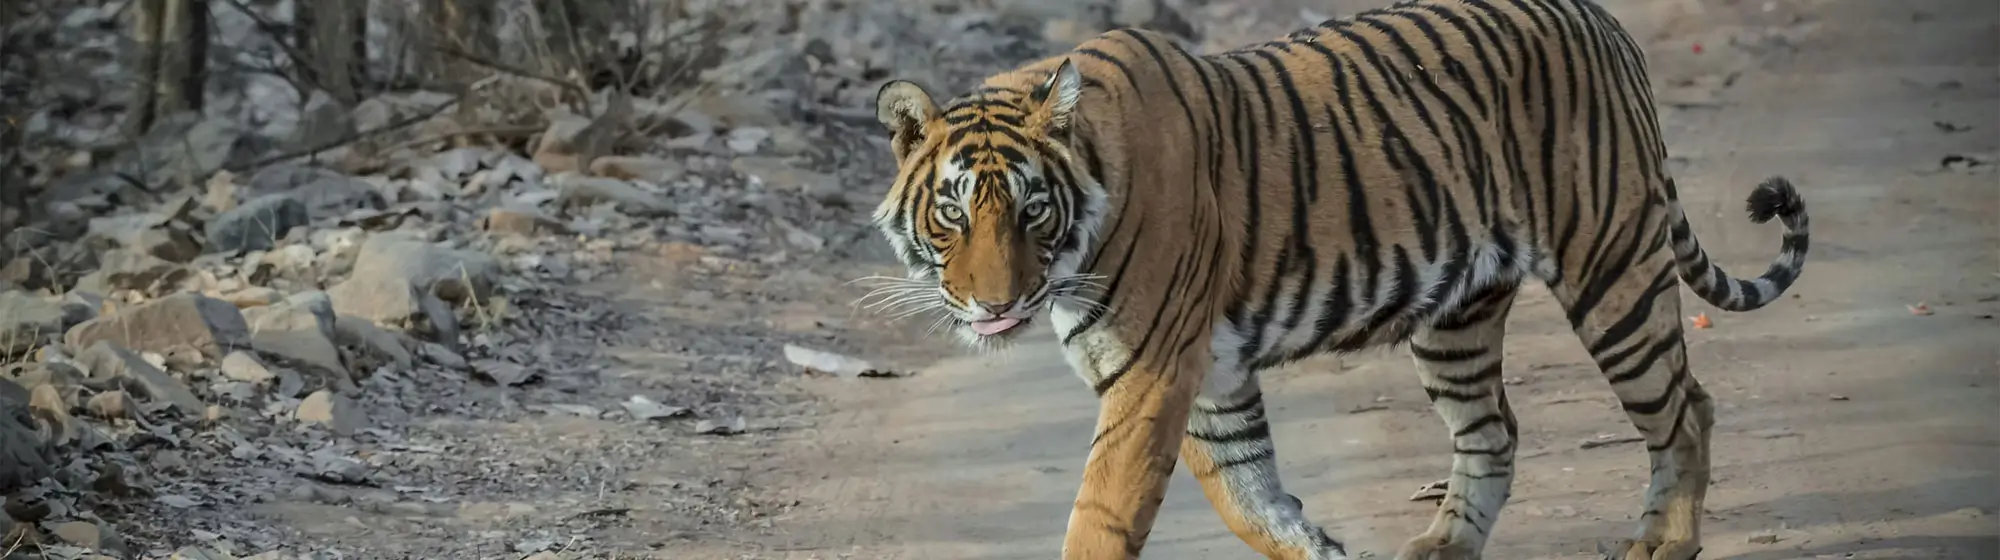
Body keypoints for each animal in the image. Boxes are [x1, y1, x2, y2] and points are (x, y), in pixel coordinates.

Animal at [860, 0, 1810, 557]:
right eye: (953, 212)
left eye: (1031, 211)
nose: (995, 303)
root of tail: (1604, 19)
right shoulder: (1208, 379)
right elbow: (1250, 498)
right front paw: (1320, 547)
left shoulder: (1153, 373)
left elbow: (1103, 511)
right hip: (1457, 317)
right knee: (1494, 430)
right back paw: (1439, 547)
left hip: (1611, 266)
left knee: (1687, 410)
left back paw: (1665, 543)